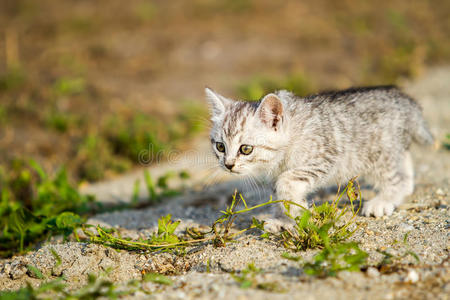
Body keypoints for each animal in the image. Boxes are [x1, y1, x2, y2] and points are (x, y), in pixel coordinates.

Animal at [206, 86, 434, 230]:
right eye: (220, 146)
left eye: (245, 149)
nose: (228, 165)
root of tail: (407, 101)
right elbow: (280, 194)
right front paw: (284, 219)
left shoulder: (324, 158)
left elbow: (286, 182)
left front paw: (295, 214)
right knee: (405, 166)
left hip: (379, 154)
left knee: (397, 178)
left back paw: (384, 200)